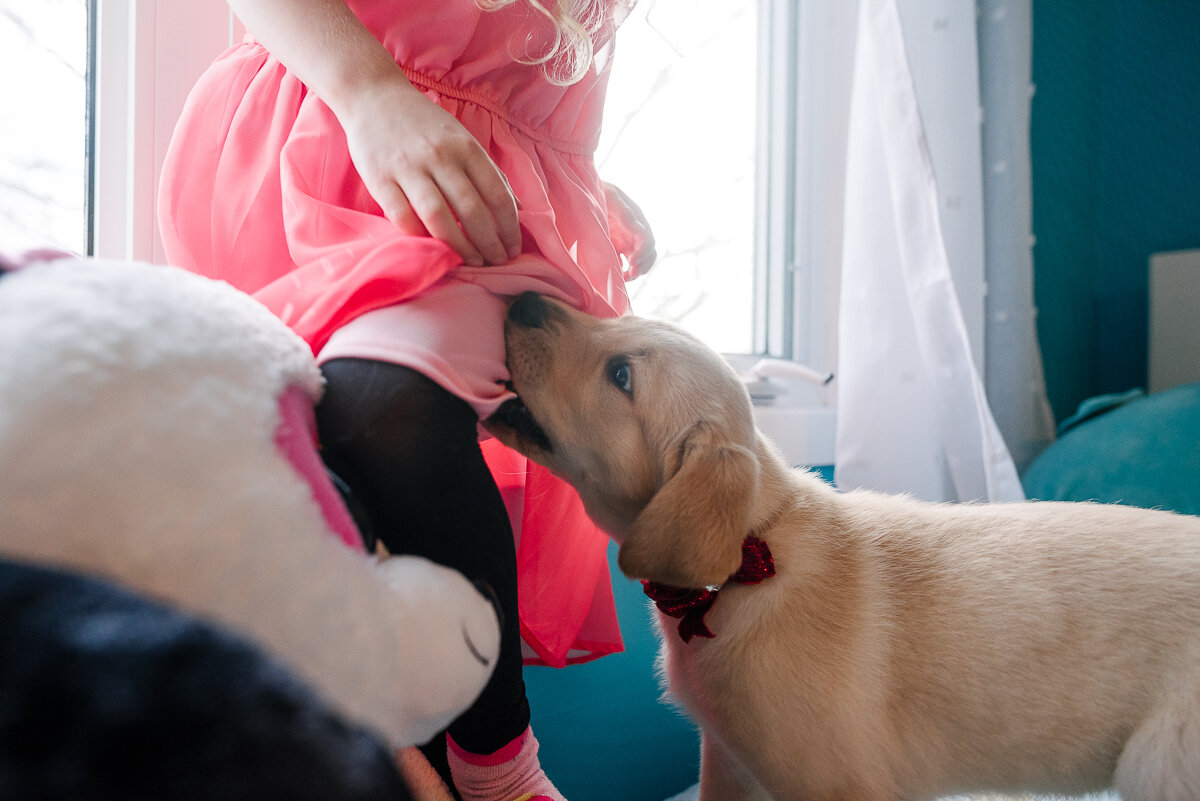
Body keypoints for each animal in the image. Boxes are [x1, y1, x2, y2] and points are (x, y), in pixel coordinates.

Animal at [484, 292, 1200, 801]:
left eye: (621, 375)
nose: (522, 298)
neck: (749, 555)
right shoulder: (729, 761)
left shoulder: (834, 782)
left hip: (1160, 765)